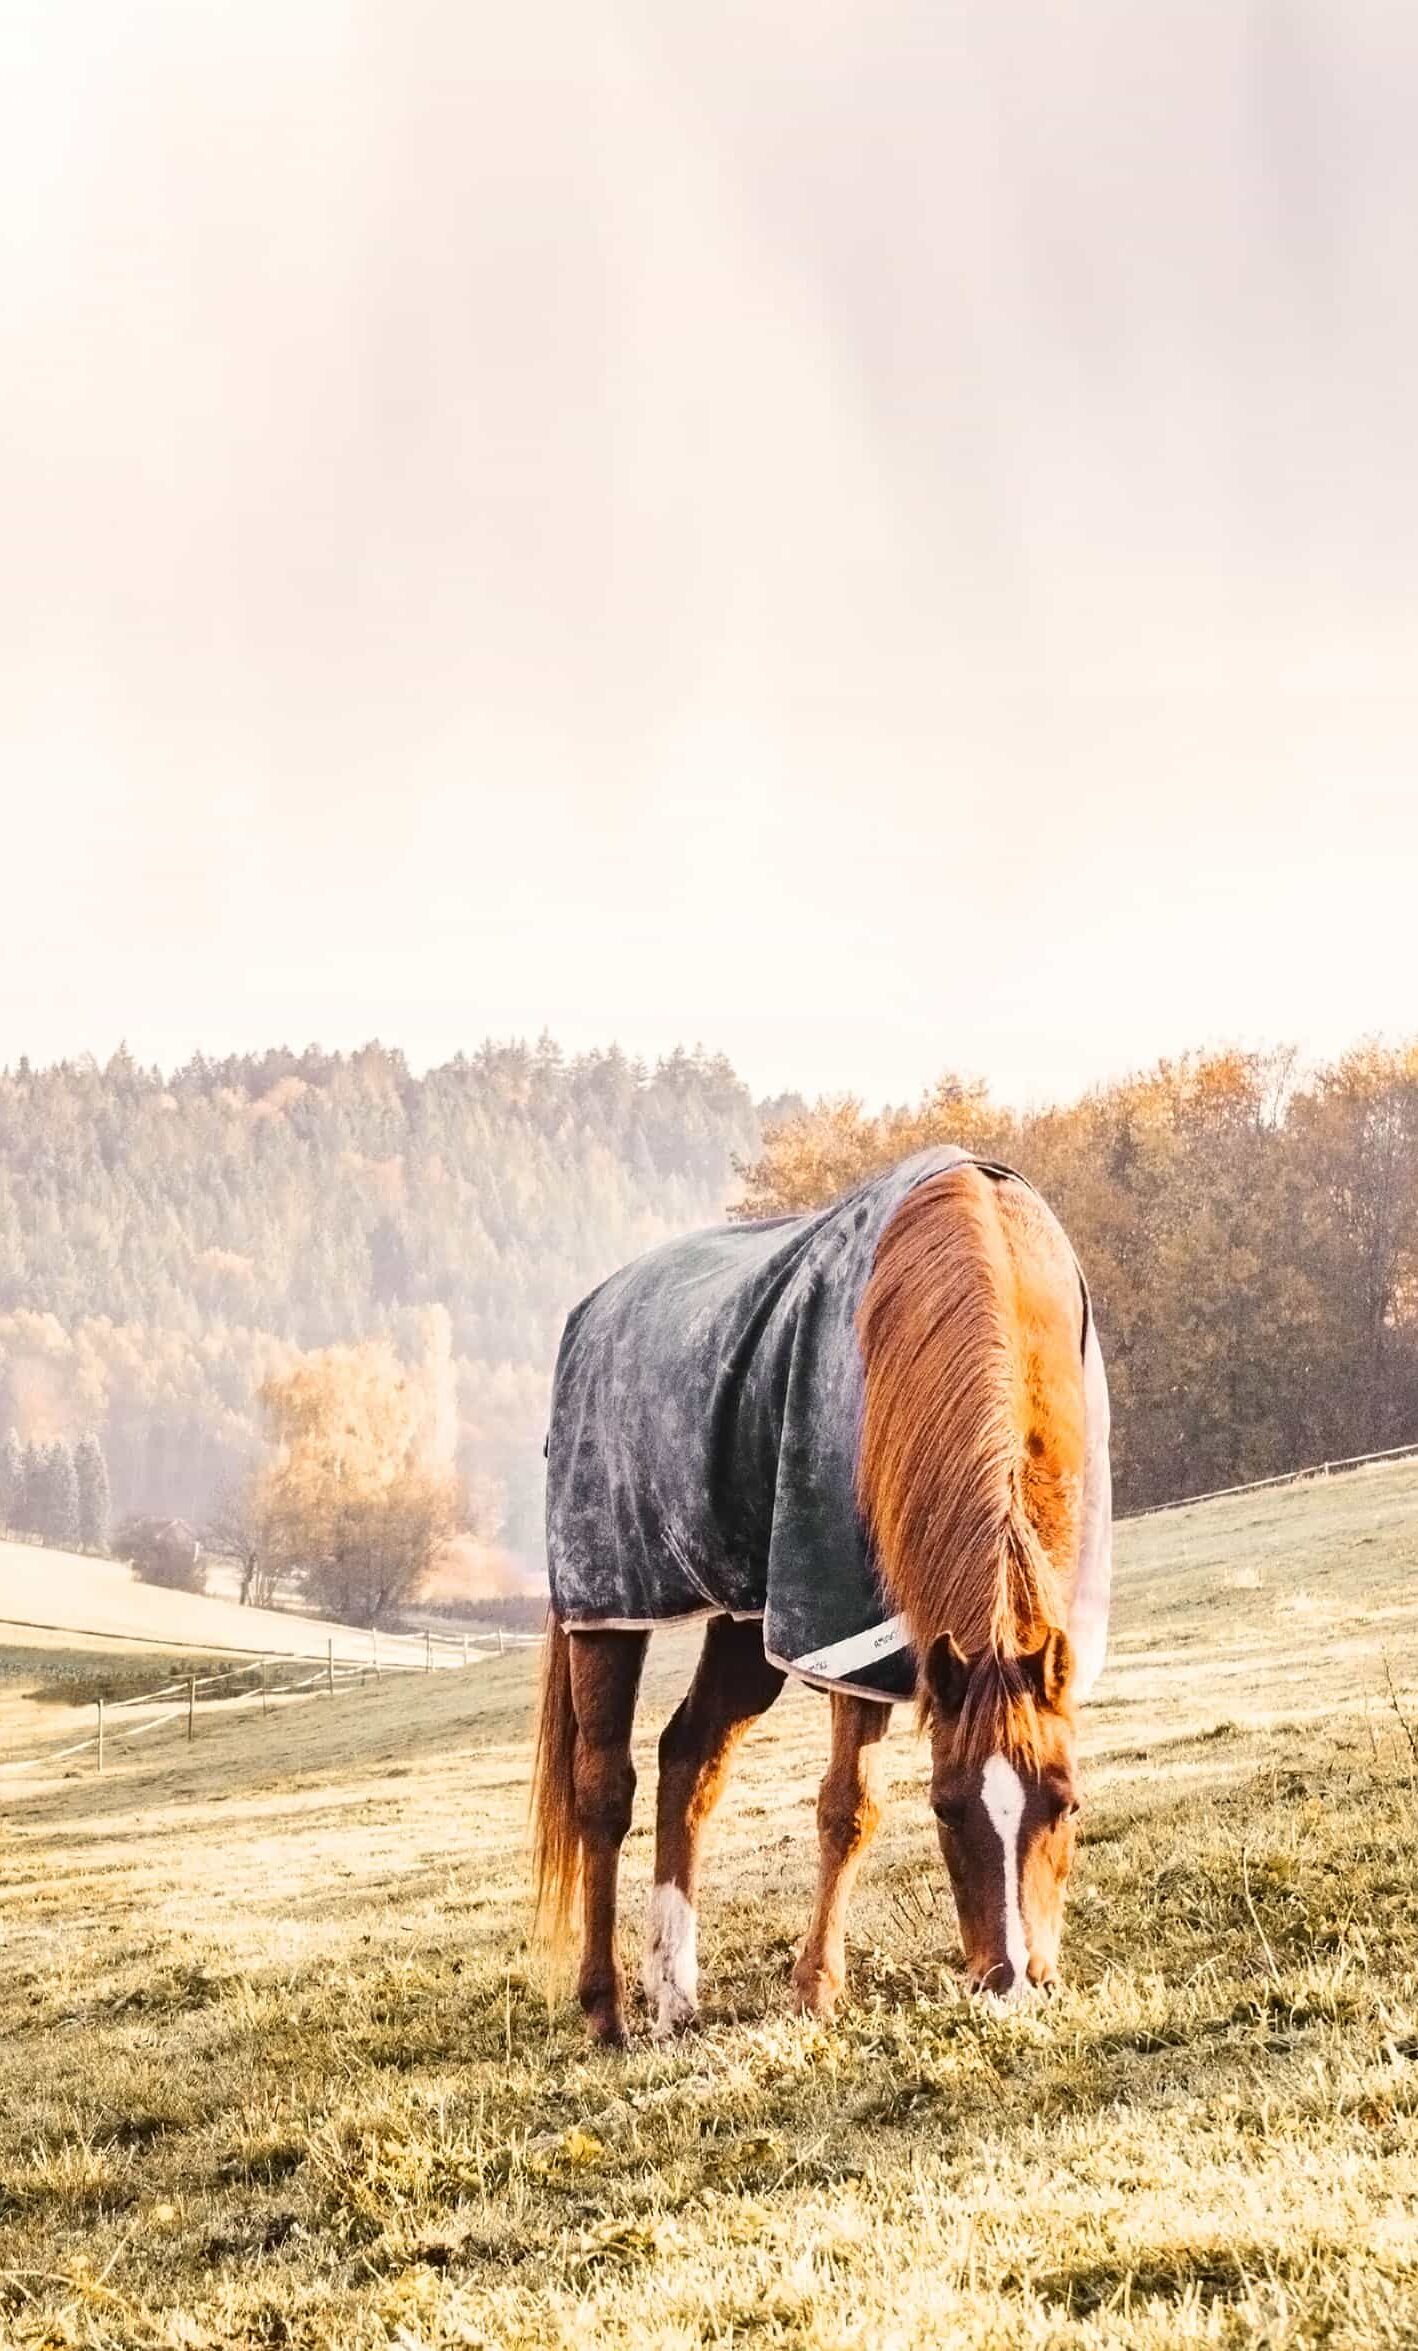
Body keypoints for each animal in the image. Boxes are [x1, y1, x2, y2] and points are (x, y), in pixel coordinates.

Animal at [531, 1146, 1111, 2045]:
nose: (1014, 1981)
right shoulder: (842, 1622)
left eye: (1069, 1802)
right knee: (605, 1790)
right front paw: (817, 1987)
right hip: (607, 1605)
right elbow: (850, 1806)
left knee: (688, 1758)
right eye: (946, 1809)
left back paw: (674, 1990)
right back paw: (606, 2006)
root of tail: (593, 1308)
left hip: (747, 1622)